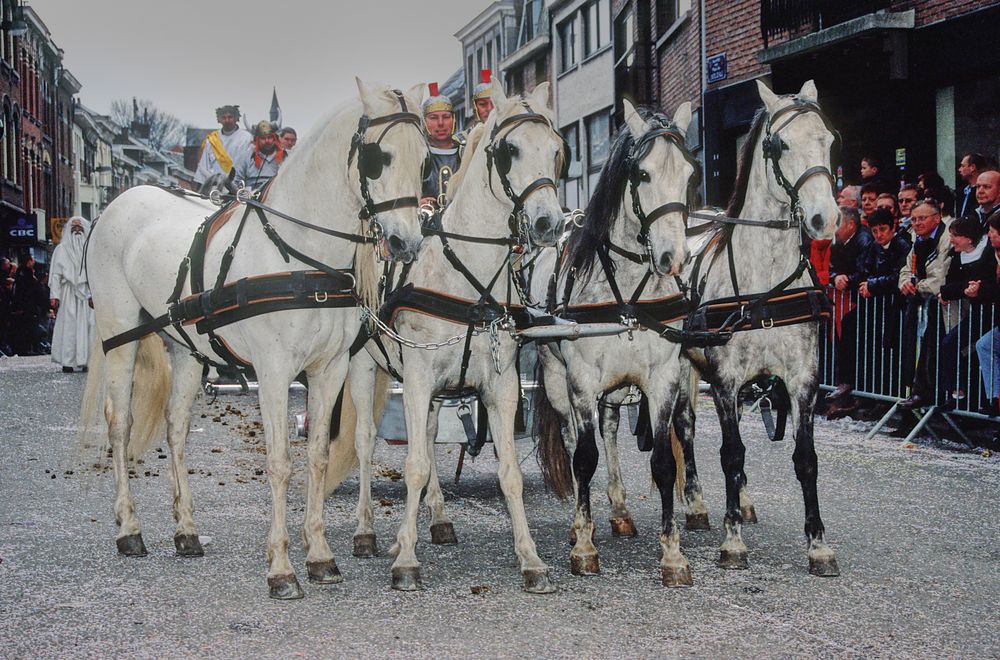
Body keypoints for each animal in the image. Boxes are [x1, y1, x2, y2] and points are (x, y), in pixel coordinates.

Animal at [81, 80, 430, 600]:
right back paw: (129, 530)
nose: (407, 242)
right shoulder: (274, 371)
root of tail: (123, 201)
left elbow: (319, 456)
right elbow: (281, 460)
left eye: (424, 160)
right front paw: (282, 569)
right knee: (120, 424)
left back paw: (186, 532)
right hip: (119, 334)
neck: (299, 255)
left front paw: (320, 556)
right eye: (377, 156)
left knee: (176, 427)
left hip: (186, 349)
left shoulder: (329, 369)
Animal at [328, 82, 568, 592]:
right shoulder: (418, 376)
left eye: (556, 150)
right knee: (365, 441)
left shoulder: (500, 385)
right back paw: (367, 532)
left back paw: (434, 521)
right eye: (510, 151)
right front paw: (405, 561)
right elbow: (414, 464)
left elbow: (509, 473)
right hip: (365, 366)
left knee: (430, 435)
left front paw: (530, 560)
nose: (548, 224)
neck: (466, 278)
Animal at [532, 100, 696, 584]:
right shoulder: (582, 379)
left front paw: (672, 555)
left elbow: (663, 463)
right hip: (558, 378)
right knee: (574, 441)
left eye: (690, 172)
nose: (673, 258)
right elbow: (583, 458)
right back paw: (578, 524)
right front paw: (584, 547)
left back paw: (620, 511)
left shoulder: (663, 378)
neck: (625, 292)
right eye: (641, 174)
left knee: (607, 431)